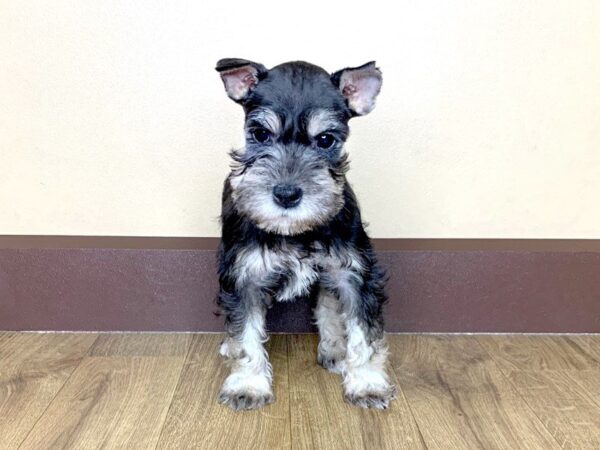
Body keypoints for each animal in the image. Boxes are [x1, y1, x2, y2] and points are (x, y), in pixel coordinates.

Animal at [214, 59, 394, 412]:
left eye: (325, 139)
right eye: (260, 134)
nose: (286, 194)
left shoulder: (355, 275)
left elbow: (363, 333)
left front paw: (367, 383)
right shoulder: (244, 278)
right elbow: (245, 335)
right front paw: (248, 385)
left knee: (327, 305)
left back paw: (335, 350)